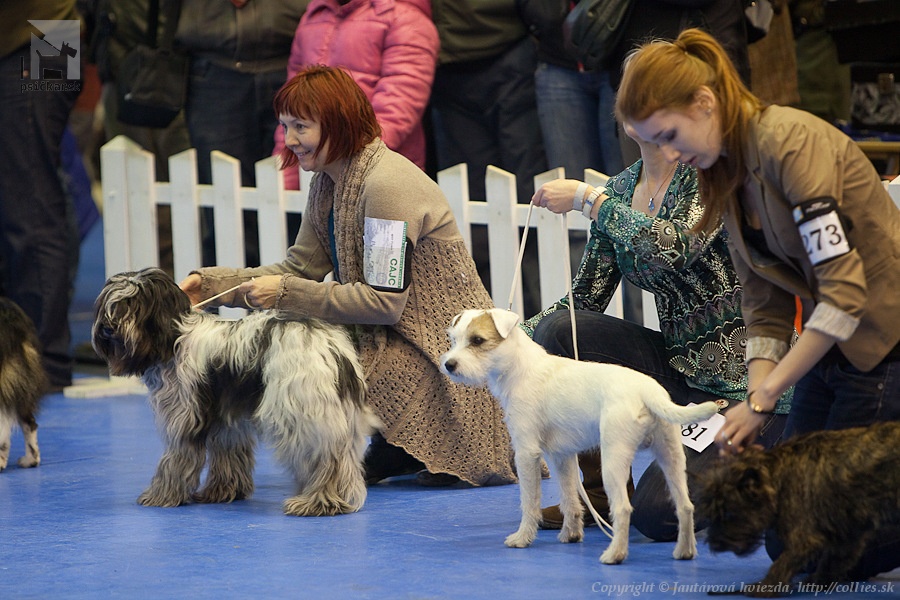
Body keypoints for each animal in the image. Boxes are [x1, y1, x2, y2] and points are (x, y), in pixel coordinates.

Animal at [94, 268, 380, 516]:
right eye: (110, 302)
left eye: (133, 303)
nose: (108, 327)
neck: (173, 338)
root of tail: (332, 348)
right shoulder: (228, 419)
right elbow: (228, 455)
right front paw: (222, 491)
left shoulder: (185, 415)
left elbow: (176, 458)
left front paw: (161, 495)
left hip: (302, 413)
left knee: (325, 457)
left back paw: (318, 502)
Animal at [440, 308, 720, 564]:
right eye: (453, 339)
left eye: (477, 340)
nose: (449, 365)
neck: (519, 368)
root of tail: (648, 393)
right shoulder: (562, 457)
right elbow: (569, 498)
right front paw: (571, 533)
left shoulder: (526, 453)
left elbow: (529, 501)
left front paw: (522, 538)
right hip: (671, 457)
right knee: (685, 505)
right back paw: (684, 551)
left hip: (614, 459)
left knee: (623, 508)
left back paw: (614, 554)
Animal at [696, 422, 900, 596]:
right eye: (712, 514)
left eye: (729, 513)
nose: (714, 544)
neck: (779, 474)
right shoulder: (847, 535)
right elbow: (832, 561)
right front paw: (818, 581)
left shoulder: (804, 538)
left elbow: (782, 563)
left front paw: (765, 587)